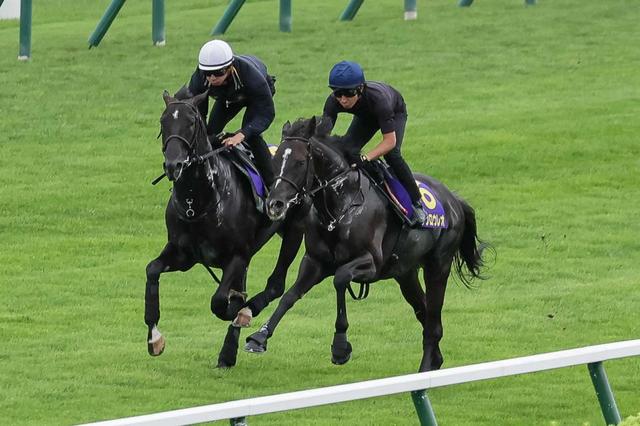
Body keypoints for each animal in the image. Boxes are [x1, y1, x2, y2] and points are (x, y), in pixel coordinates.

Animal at [145, 92, 304, 366]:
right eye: (163, 122)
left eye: (191, 123)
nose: (174, 165)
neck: (197, 202)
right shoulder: (182, 254)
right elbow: (152, 270)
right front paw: (154, 338)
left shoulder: (238, 255)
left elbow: (219, 301)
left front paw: (238, 310)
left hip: (295, 231)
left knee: (276, 284)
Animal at [248, 117, 488, 372]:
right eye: (275, 161)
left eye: (300, 162)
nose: (275, 204)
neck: (340, 207)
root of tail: (454, 200)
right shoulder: (314, 262)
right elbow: (290, 295)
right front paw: (259, 337)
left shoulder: (370, 263)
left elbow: (340, 278)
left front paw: (340, 346)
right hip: (405, 273)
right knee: (425, 313)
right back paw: (435, 361)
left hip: (438, 266)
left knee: (433, 322)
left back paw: (424, 371)